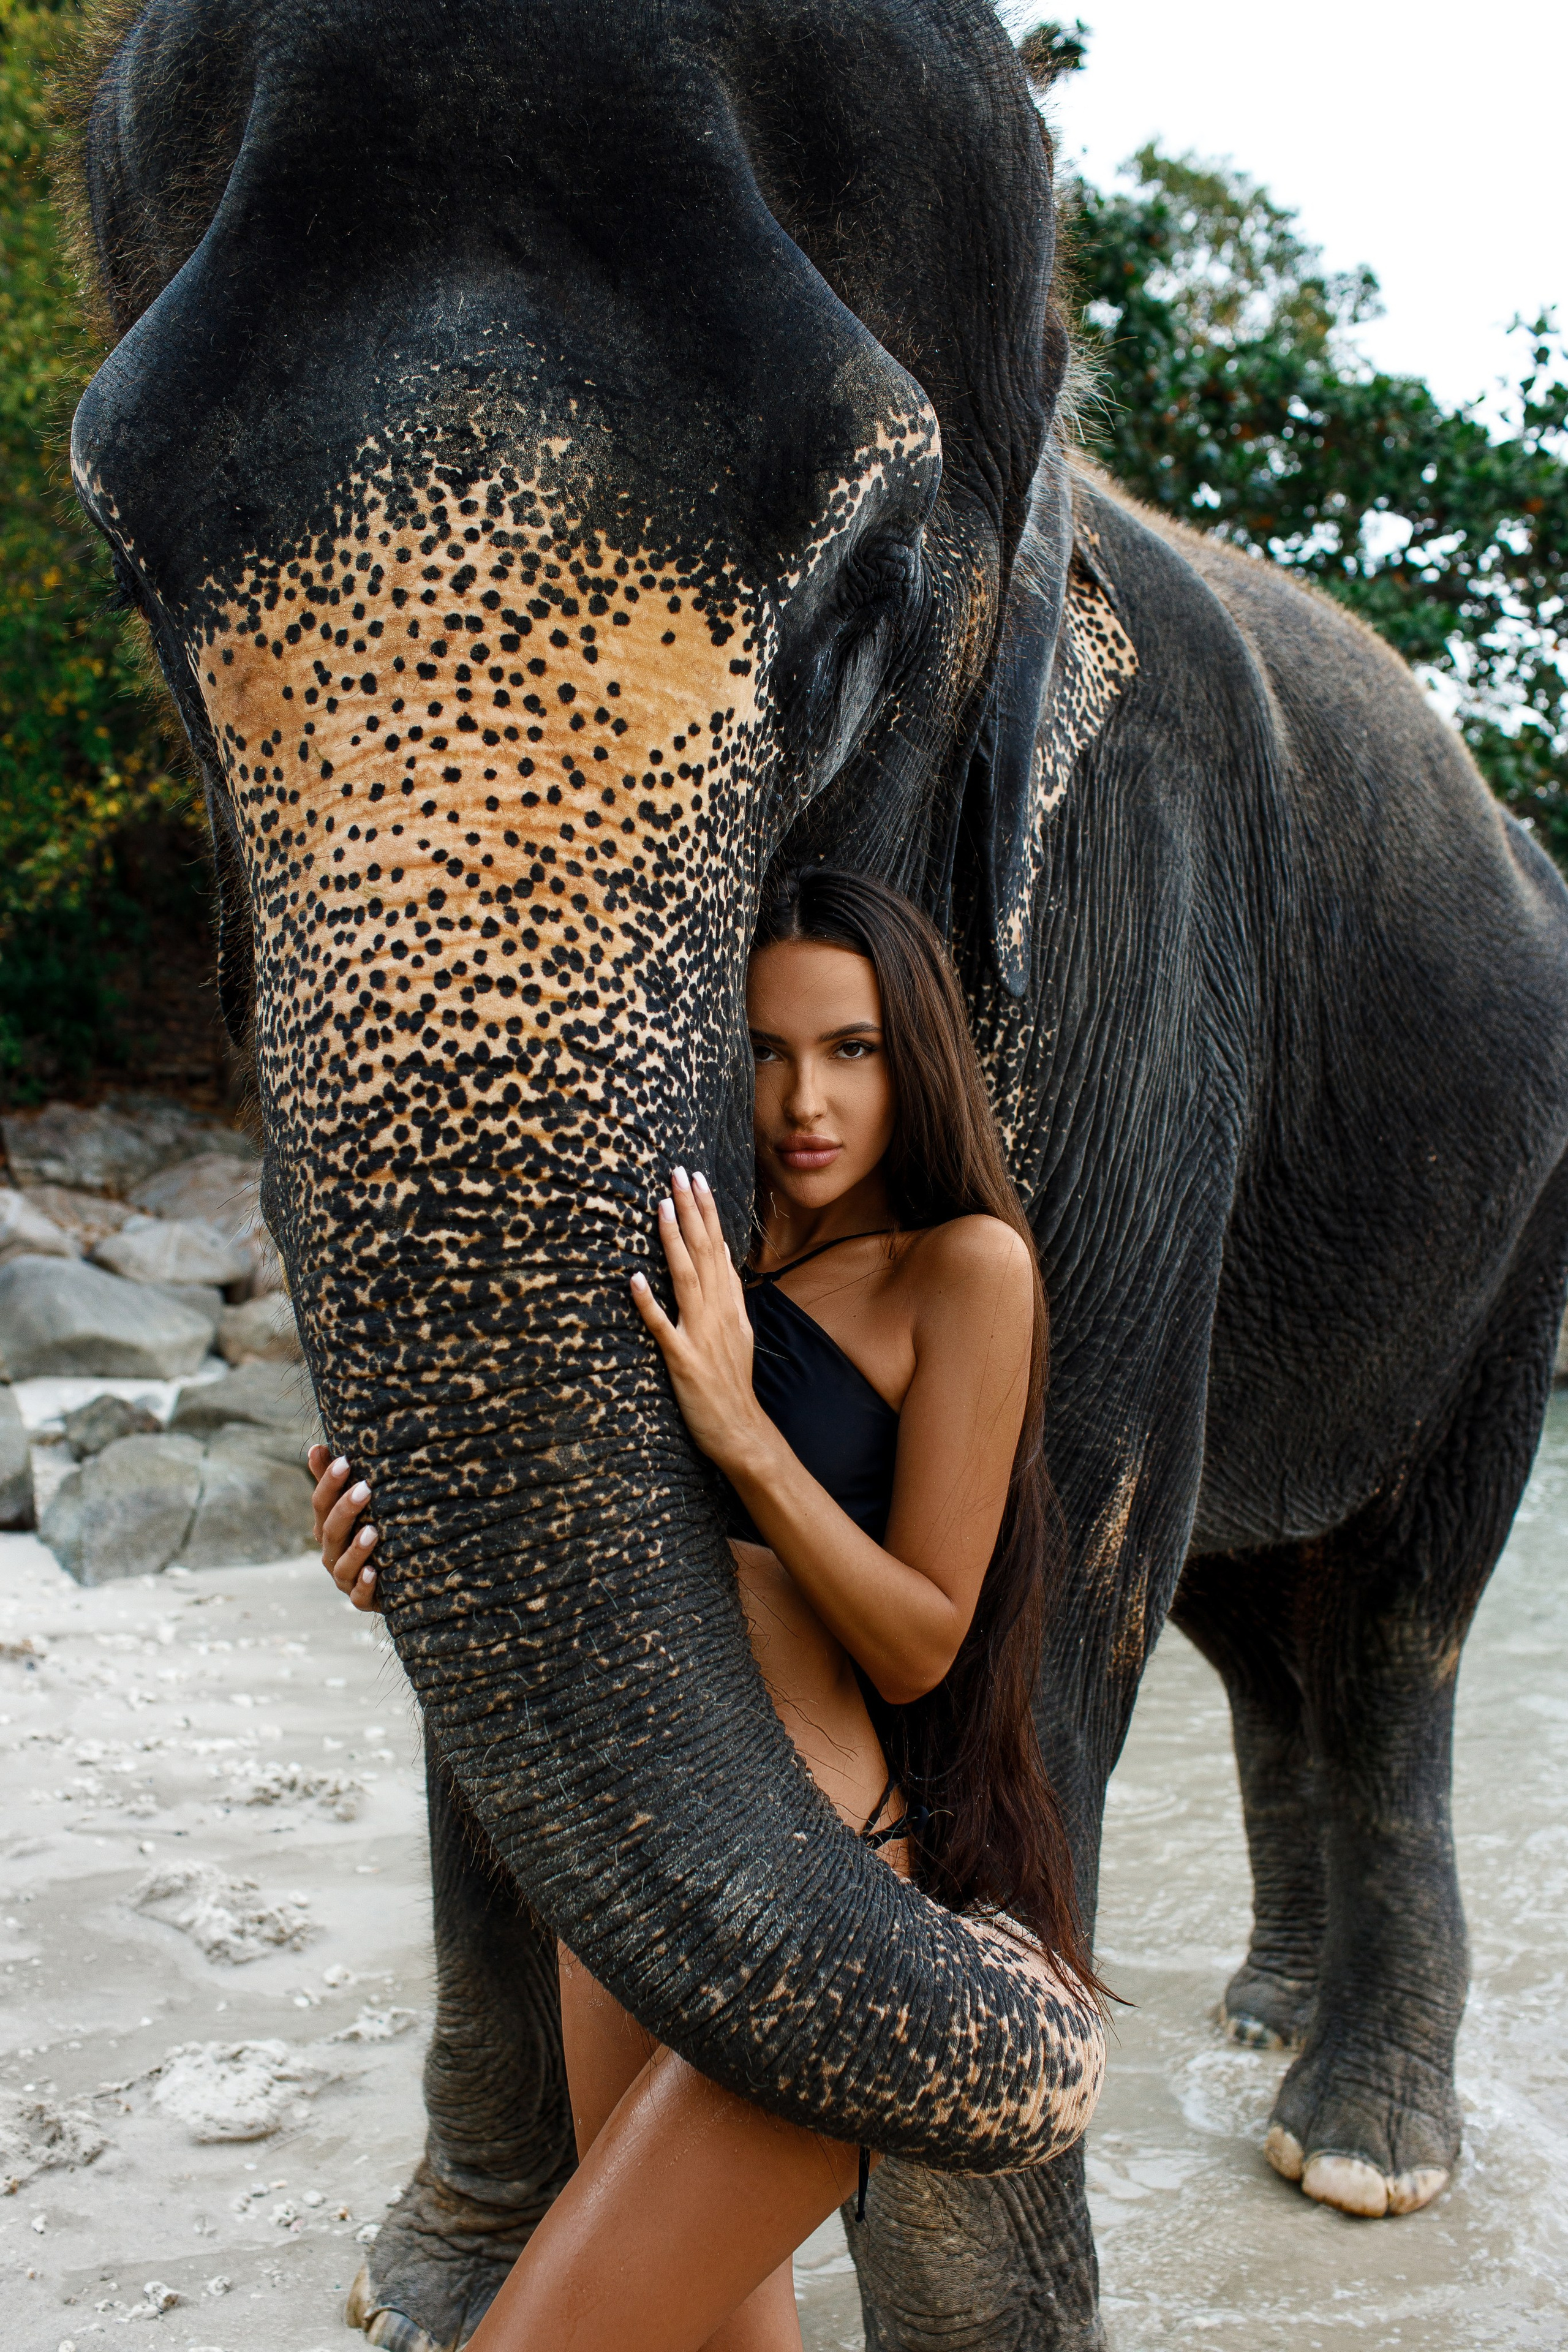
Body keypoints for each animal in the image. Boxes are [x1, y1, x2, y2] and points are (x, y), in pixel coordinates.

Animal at [66, 0, 1568, 2345]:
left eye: (861, 595)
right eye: (133, 584)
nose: (1042, 1986)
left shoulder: (1137, 909)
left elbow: (1053, 1554)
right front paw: (447, 2280)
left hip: (1524, 1214)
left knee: (1399, 1614)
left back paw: (1356, 2146)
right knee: (1263, 1626)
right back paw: (1250, 2017)